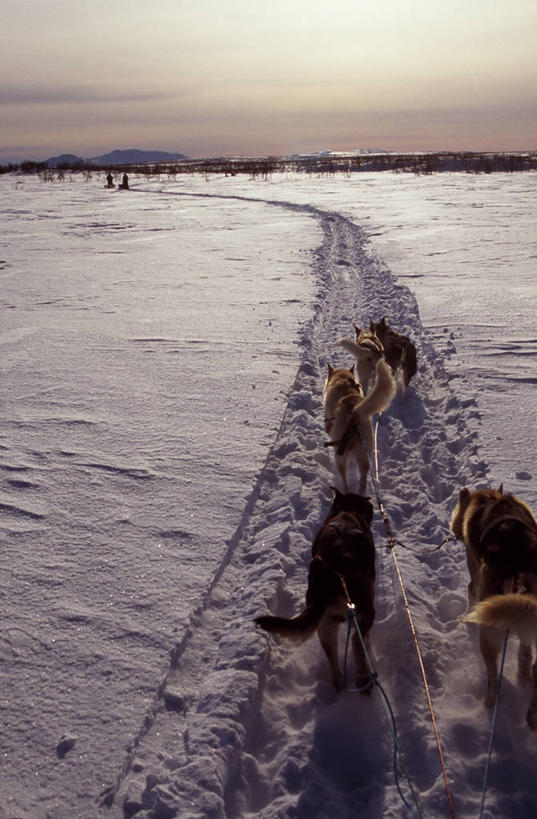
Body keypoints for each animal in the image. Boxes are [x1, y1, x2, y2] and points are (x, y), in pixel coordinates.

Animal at [254, 490, 372, 696]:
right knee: (357, 642)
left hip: (324, 625)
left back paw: (339, 683)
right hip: (360, 612)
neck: (347, 511)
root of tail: (333, 574)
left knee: (333, 658)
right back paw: (363, 678)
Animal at [322, 358, 394, 494]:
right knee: (363, 478)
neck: (343, 380)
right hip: (365, 456)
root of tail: (356, 412)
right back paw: (361, 492)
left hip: (341, 455)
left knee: (344, 477)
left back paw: (346, 490)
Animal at [450, 486, 537, 732]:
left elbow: (470, 594)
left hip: (488, 635)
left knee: (491, 674)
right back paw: (524, 680)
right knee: (526, 655)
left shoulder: (473, 574)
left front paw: (465, 618)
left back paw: (490, 701)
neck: (488, 498)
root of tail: (518, 568)